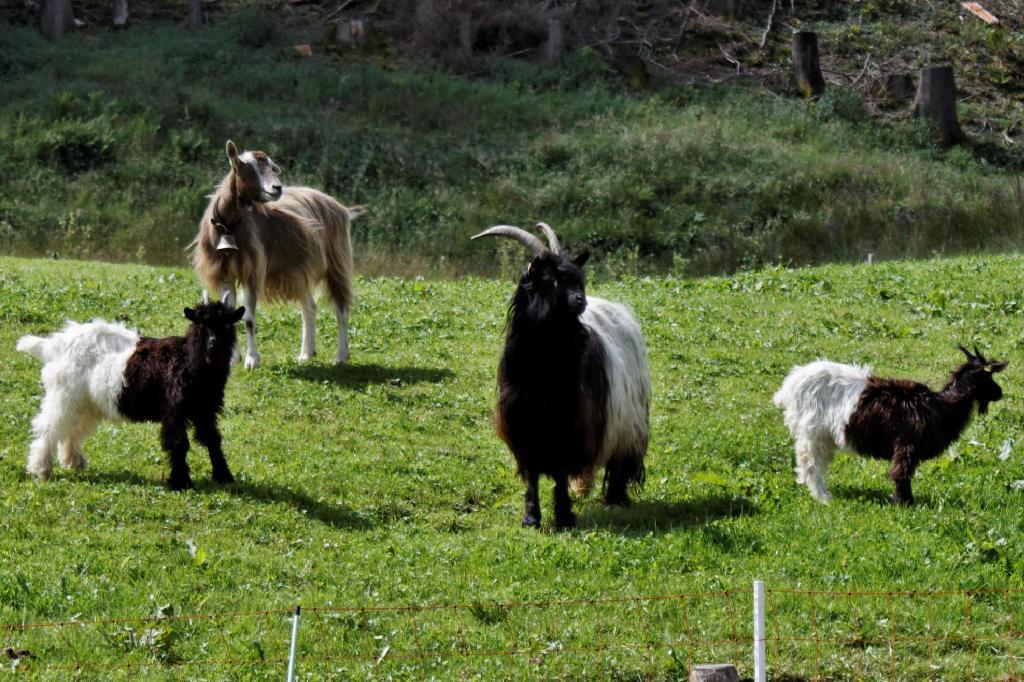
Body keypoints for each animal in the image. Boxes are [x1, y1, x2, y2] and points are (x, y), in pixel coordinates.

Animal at [18, 294, 246, 485]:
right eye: (200, 324)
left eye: (227, 324)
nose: (213, 343)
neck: (187, 360)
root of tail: (55, 345)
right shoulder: (174, 411)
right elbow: (178, 443)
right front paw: (181, 481)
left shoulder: (206, 410)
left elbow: (212, 440)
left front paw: (224, 476)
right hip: (64, 396)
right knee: (48, 427)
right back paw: (40, 469)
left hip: (86, 403)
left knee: (72, 430)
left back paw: (74, 461)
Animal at [468, 220, 647, 528]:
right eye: (549, 278)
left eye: (577, 278)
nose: (579, 299)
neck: (542, 371)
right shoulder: (523, 426)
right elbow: (531, 475)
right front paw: (531, 517)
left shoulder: (571, 425)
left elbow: (561, 472)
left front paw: (564, 516)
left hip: (628, 422)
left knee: (619, 461)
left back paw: (615, 499)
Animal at [774, 346, 1007, 503]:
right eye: (987, 377)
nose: (1000, 393)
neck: (937, 406)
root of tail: (789, 386)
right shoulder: (906, 445)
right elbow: (901, 473)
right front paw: (905, 503)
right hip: (813, 432)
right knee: (810, 463)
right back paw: (823, 497)